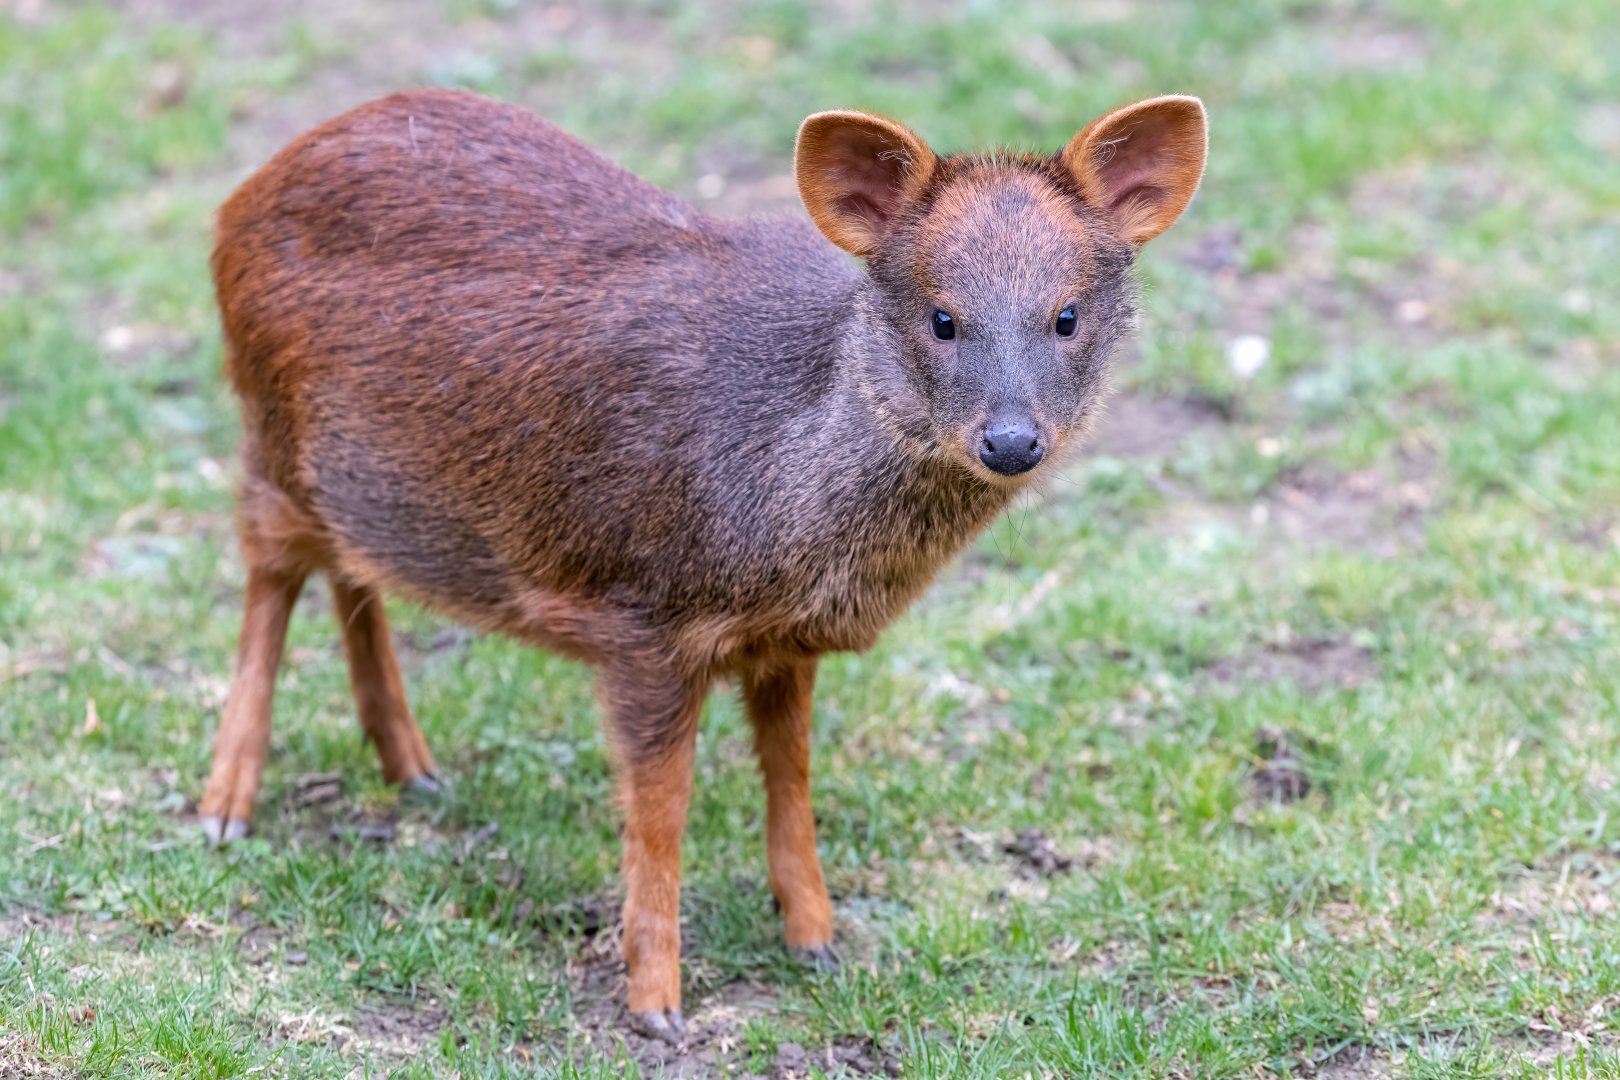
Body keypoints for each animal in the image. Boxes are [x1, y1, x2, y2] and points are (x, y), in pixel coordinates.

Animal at [201, 87, 1207, 1042]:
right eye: (943, 318)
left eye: (1066, 316)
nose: (1010, 440)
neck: (776, 495)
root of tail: (237, 201)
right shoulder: (641, 617)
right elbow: (660, 812)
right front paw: (656, 1001)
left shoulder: (783, 645)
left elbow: (791, 780)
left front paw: (816, 940)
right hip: (266, 428)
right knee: (266, 567)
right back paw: (225, 806)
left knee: (350, 570)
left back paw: (411, 766)